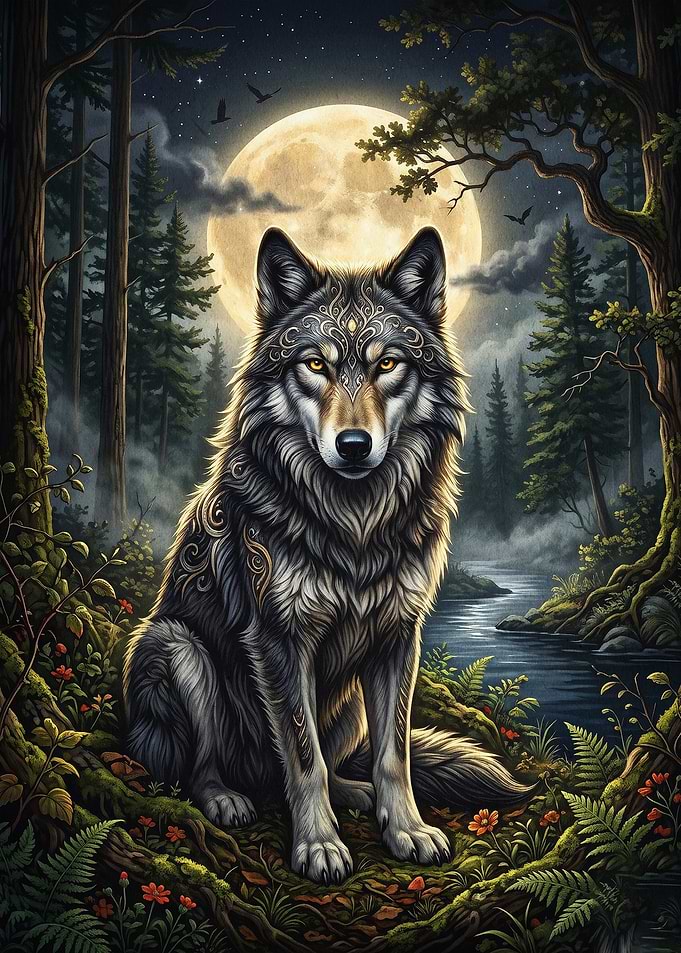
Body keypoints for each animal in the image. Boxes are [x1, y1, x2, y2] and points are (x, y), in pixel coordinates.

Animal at [124, 227, 532, 884]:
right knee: (206, 767)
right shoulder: (279, 639)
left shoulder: (399, 636)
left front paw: (407, 830)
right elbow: (303, 755)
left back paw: (354, 793)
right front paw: (317, 844)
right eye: (316, 364)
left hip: (351, 705)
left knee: (340, 763)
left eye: (388, 363)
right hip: (180, 648)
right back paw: (227, 799)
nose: (354, 445)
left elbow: (393, 756)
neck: (355, 523)